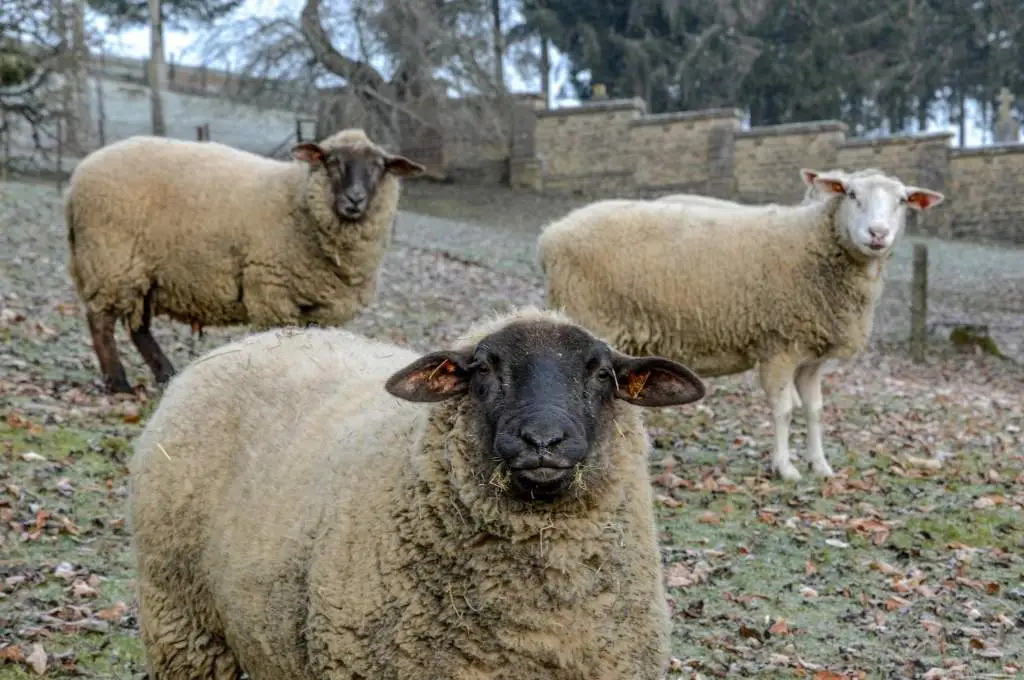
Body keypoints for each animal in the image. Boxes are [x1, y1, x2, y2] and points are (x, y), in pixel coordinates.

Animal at [64, 128, 425, 395]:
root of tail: (77, 176)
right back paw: (118, 383)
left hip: (143, 270)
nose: (355, 200)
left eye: (379, 167)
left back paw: (165, 373)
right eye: (333, 161)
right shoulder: (272, 292)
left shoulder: (320, 309)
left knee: (138, 326)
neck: (298, 201)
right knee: (101, 322)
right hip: (111, 260)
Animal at [537, 168, 944, 481]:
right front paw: (785, 468)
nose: (878, 233)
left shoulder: (812, 358)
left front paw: (820, 465)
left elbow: (814, 410)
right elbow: (785, 410)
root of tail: (551, 235)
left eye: (902, 201)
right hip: (587, 316)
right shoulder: (780, 346)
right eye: (852, 194)